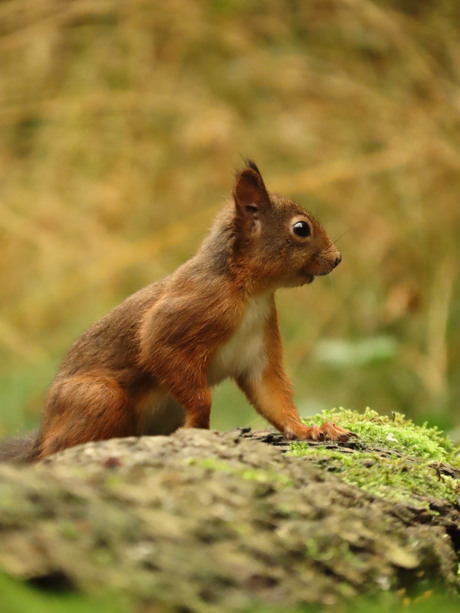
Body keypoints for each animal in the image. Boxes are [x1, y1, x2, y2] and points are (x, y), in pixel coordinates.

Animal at [0, 160, 350, 462]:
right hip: (96, 398)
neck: (251, 293)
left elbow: (272, 395)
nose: (337, 259)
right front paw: (197, 428)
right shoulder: (183, 316)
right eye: (301, 228)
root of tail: (44, 433)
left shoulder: (258, 348)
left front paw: (311, 429)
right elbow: (174, 366)